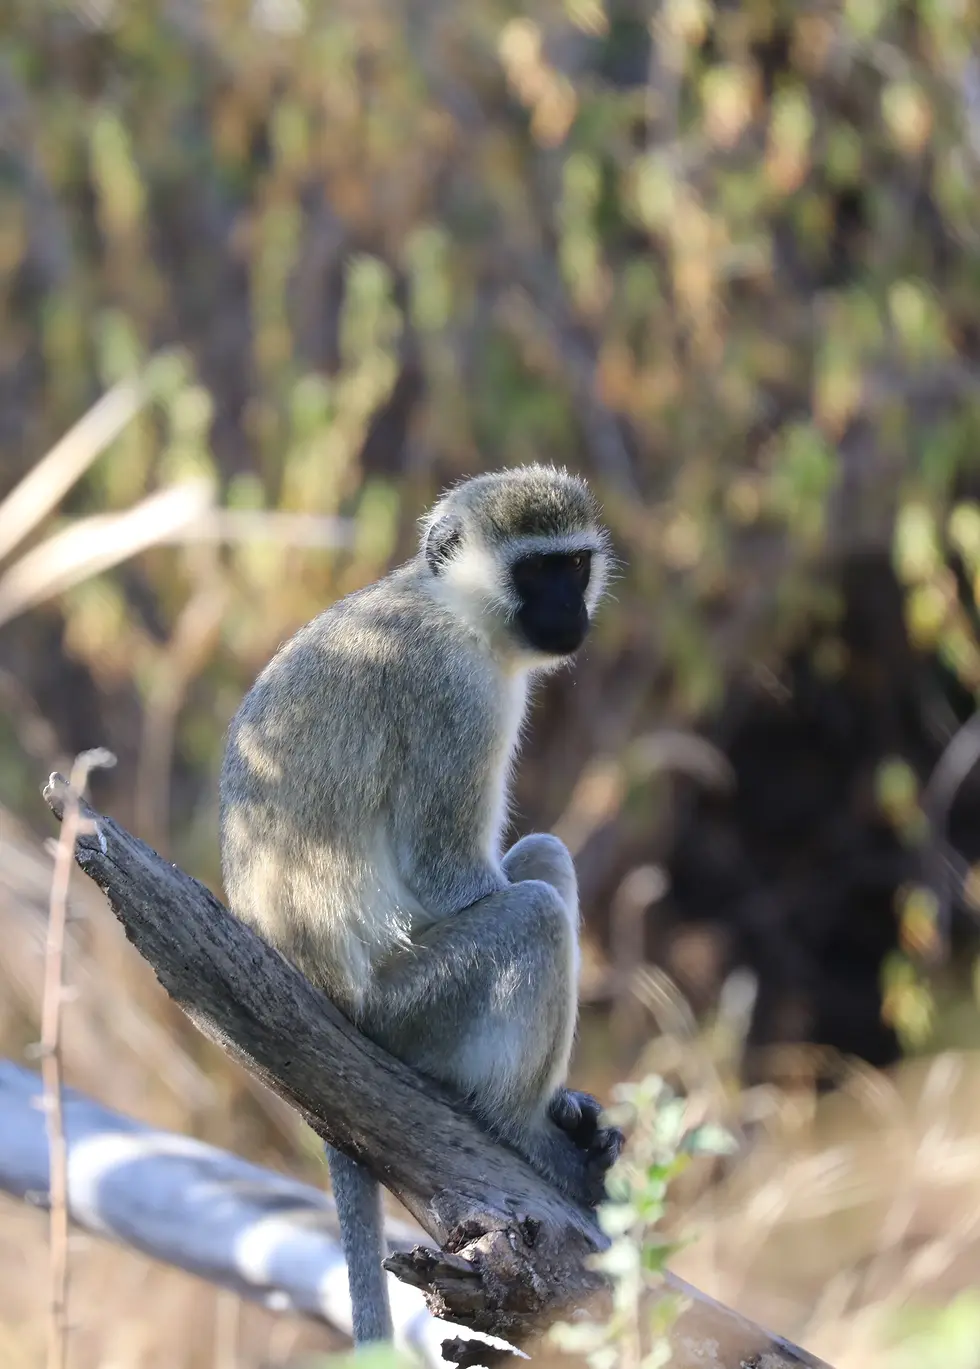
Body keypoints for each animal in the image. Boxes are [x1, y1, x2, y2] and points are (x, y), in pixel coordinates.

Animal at [218, 465, 623, 1344]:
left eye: (574, 565)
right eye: (536, 570)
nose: (569, 613)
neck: (447, 606)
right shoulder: (455, 698)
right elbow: (447, 874)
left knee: (544, 861)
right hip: (407, 1012)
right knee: (537, 910)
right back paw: (531, 1136)